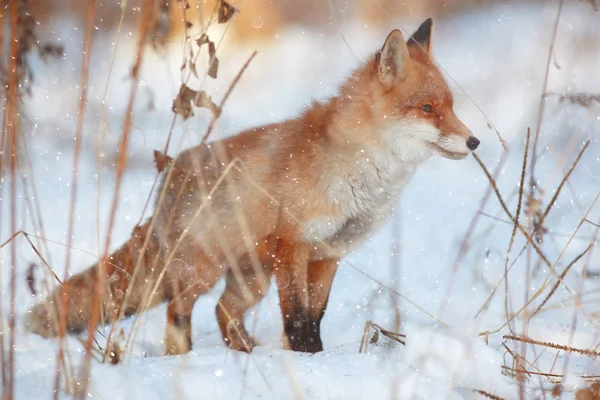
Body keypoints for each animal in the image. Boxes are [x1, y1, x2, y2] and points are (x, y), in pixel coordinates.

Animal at [25, 20, 480, 354]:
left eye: (452, 106)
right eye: (428, 109)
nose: (474, 142)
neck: (359, 171)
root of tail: (166, 183)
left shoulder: (329, 253)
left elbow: (316, 315)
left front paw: (311, 357)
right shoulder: (292, 245)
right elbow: (297, 319)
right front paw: (307, 359)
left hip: (251, 281)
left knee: (223, 312)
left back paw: (245, 351)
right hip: (203, 272)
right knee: (179, 311)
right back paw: (186, 357)